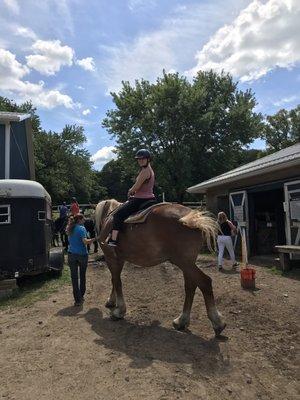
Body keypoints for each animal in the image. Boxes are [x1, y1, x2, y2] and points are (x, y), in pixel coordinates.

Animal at [95, 200, 226, 338]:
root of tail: (193, 219)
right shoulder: (119, 259)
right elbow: (114, 279)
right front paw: (111, 301)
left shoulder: (110, 257)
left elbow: (116, 281)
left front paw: (119, 310)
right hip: (188, 263)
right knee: (190, 286)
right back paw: (181, 320)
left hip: (184, 262)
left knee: (204, 282)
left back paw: (217, 323)